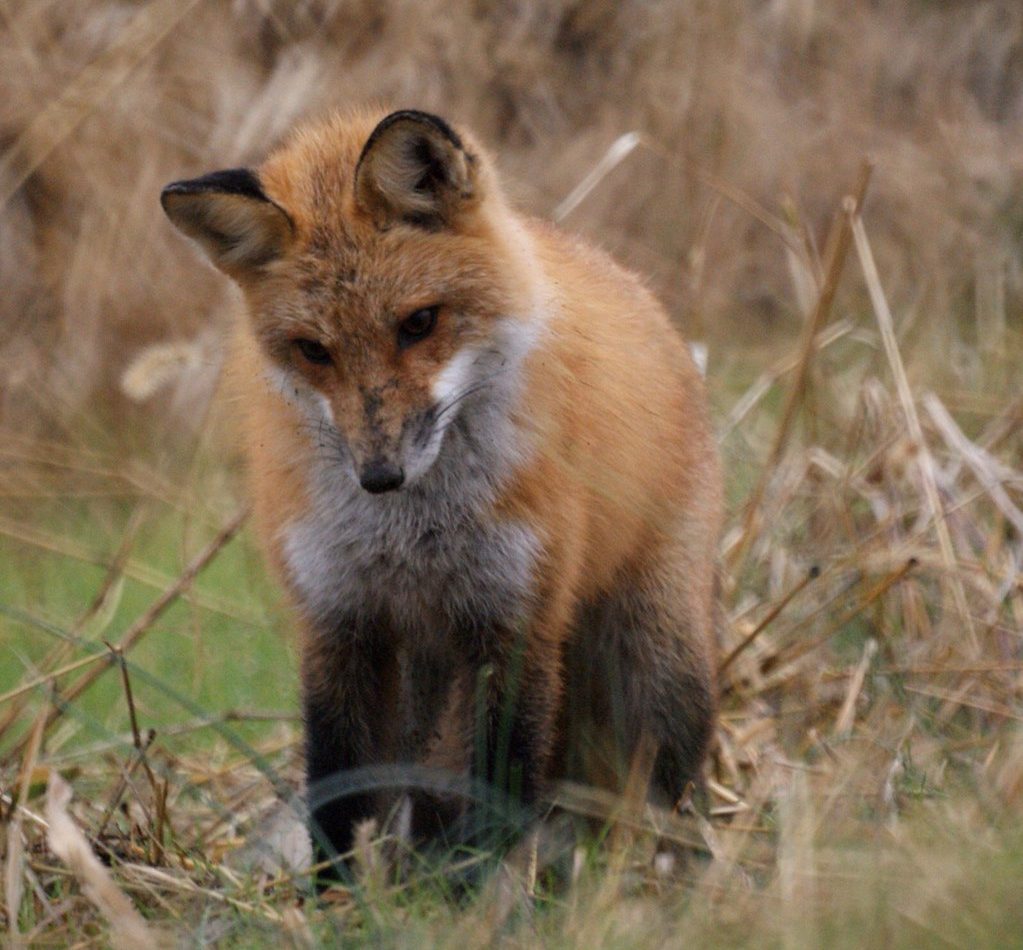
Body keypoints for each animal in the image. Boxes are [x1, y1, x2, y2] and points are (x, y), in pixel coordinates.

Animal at [161, 108, 723, 870]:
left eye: (418, 322)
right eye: (313, 350)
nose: (379, 476)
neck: (411, 538)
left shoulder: (514, 621)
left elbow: (498, 791)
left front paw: (478, 889)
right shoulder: (339, 622)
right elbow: (339, 796)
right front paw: (340, 896)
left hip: (658, 658)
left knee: (667, 779)